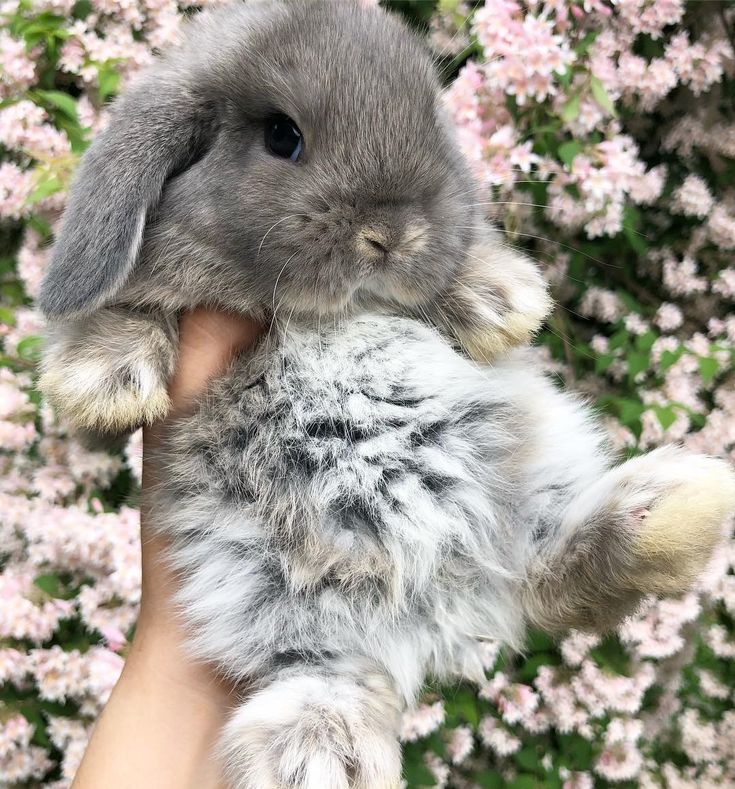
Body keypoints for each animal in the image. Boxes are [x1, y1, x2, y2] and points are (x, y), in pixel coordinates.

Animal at [36, 0, 552, 438]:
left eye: (434, 124)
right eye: (282, 135)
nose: (392, 237)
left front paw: (499, 295)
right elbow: (130, 304)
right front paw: (105, 375)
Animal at [150, 310, 735, 784]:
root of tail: (441, 589)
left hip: (528, 469)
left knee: (543, 576)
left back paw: (672, 510)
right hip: (247, 582)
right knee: (328, 668)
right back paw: (319, 758)